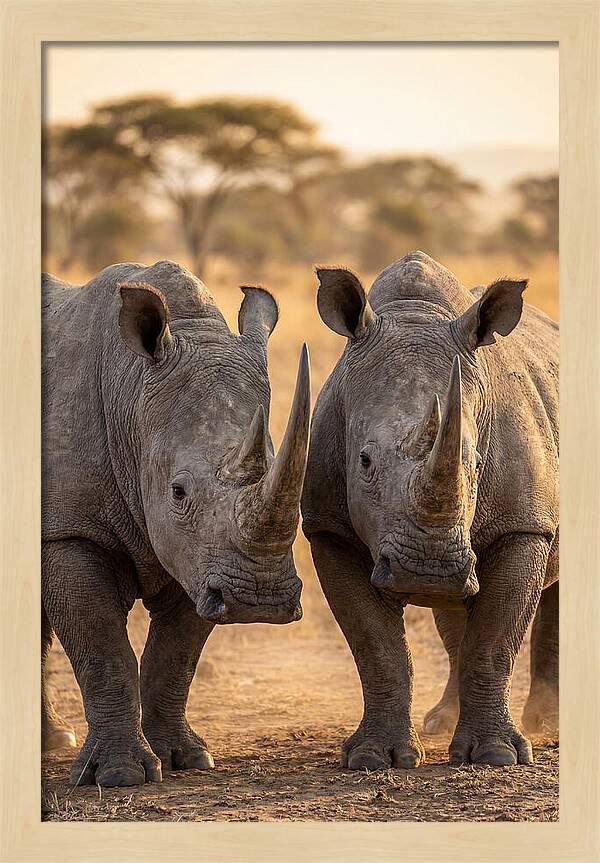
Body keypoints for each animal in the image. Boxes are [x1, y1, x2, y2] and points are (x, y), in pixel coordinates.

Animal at [42, 259, 310, 787]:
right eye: (178, 492)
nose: (260, 600)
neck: (130, 392)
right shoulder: (68, 528)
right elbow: (102, 648)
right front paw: (119, 776)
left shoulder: (202, 557)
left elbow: (175, 655)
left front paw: (186, 758)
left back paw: (54, 740)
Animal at [302, 251, 558, 768]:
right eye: (364, 461)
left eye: (476, 462)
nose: (429, 569)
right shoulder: (328, 528)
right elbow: (376, 648)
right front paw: (374, 758)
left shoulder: (524, 525)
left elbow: (495, 641)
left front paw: (498, 756)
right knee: (455, 613)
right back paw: (442, 721)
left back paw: (548, 723)